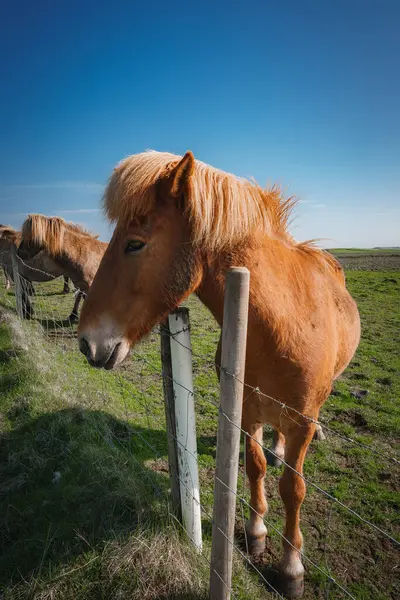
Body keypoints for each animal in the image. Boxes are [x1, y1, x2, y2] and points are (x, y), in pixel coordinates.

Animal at [77, 150, 360, 596]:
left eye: (135, 244)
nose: (86, 342)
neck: (283, 326)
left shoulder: (300, 421)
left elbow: (293, 489)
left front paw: (291, 567)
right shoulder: (246, 411)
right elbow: (255, 466)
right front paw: (256, 532)